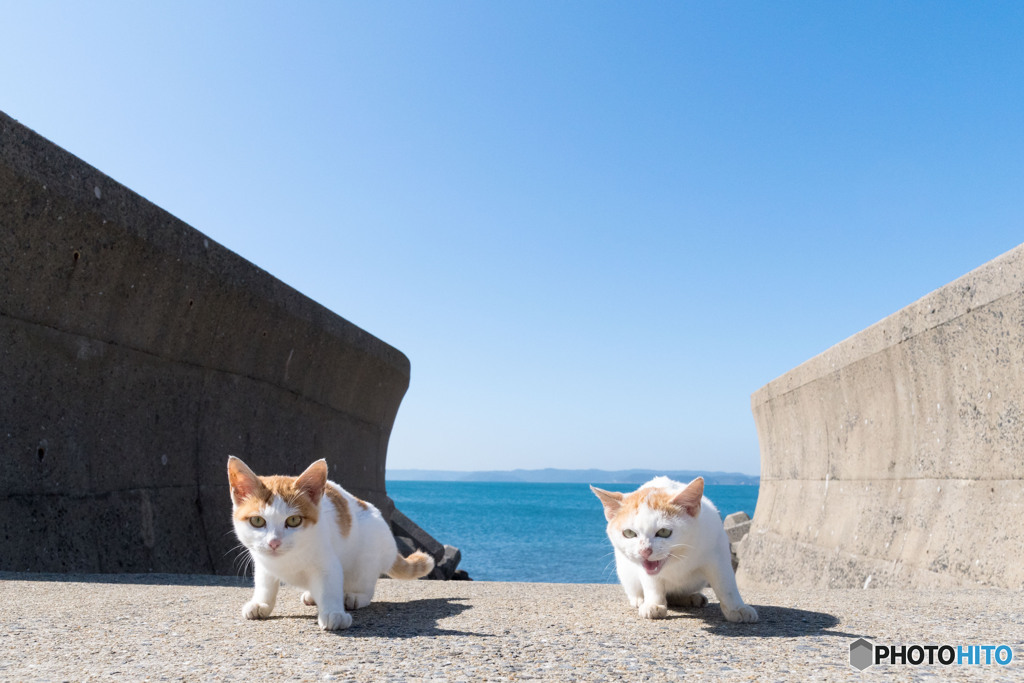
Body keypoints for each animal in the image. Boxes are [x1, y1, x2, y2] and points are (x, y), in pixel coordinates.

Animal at [228, 456, 436, 634]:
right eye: (257, 521)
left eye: (294, 520)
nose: (273, 542)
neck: (288, 560)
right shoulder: (262, 561)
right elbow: (264, 582)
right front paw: (261, 603)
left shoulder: (328, 562)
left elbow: (330, 585)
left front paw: (332, 613)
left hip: (368, 553)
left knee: (365, 584)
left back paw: (355, 596)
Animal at [598, 479, 757, 622]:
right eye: (629, 533)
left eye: (663, 532)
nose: (645, 551)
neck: (680, 557)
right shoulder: (645, 569)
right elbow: (652, 583)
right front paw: (653, 604)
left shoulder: (718, 551)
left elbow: (726, 585)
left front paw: (737, 608)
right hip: (625, 571)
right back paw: (639, 599)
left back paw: (691, 597)